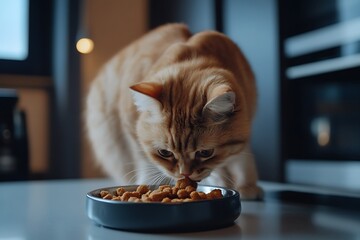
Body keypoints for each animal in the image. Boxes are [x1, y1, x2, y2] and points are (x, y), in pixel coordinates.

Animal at [86, 23, 262, 199]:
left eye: (205, 152)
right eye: (164, 152)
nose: (185, 174)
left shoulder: (245, 127)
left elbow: (241, 158)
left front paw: (246, 185)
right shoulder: (130, 131)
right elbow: (145, 160)